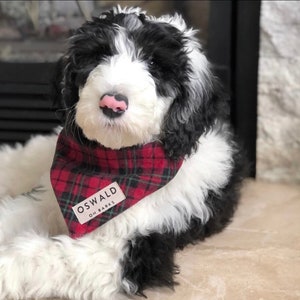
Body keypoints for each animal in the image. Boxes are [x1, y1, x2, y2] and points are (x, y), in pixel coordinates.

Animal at [0, 5, 244, 300]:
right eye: (99, 55)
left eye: (154, 64)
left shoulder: (128, 249)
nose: (112, 103)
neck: (115, 164)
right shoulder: (48, 200)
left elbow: (43, 256)